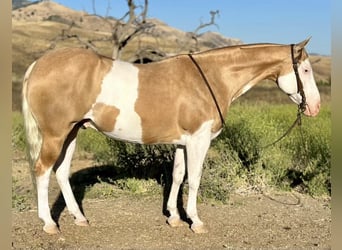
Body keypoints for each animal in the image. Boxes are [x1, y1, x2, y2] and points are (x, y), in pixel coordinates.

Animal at [21, 37, 320, 234]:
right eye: (305, 70)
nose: (315, 107)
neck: (210, 78)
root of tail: (38, 64)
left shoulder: (182, 143)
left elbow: (177, 176)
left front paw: (174, 218)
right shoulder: (199, 140)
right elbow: (195, 179)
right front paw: (196, 222)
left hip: (72, 132)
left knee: (61, 172)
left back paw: (79, 218)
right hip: (56, 134)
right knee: (42, 171)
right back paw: (49, 224)